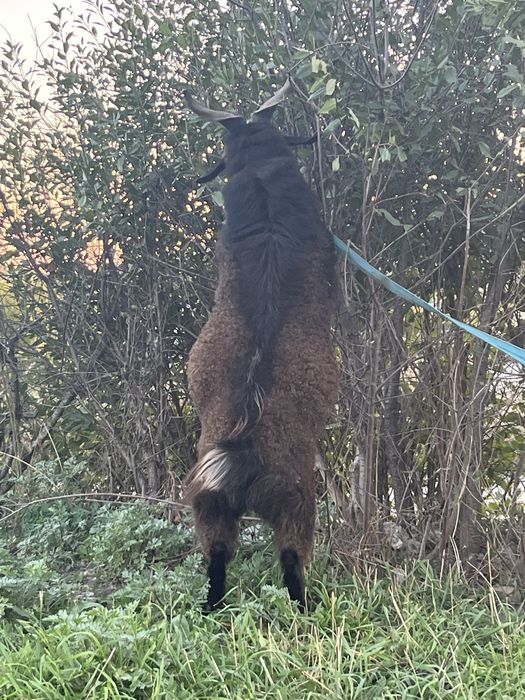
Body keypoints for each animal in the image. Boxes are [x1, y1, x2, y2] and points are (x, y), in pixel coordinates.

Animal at [183, 80, 338, 610]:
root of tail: (243, 452)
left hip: (208, 503)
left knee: (216, 556)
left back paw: (211, 607)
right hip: (298, 502)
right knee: (292, 560)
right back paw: (305, 609)